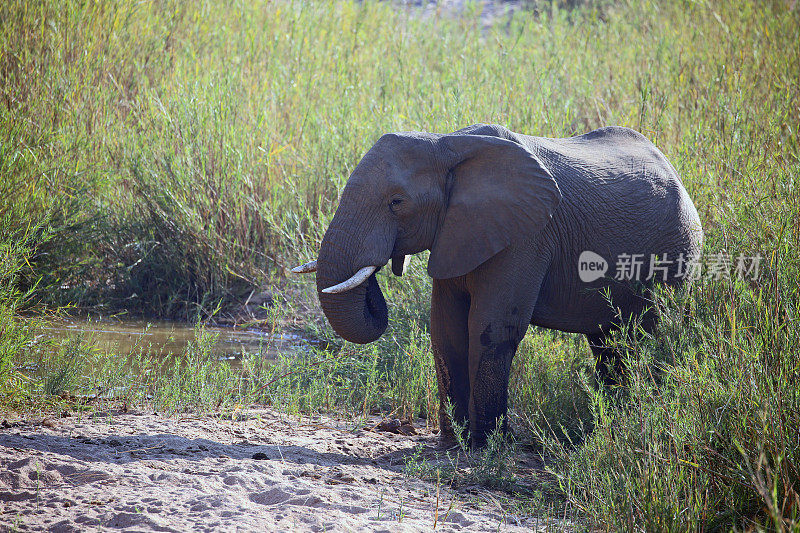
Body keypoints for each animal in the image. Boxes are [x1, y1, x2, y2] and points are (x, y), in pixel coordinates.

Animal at [292, 123, 700, 444]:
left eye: (397, 202)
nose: (386, 262)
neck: (446, 142)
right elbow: (446, 329)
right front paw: (453, 443)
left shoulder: (527, 235)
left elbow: (490, 327)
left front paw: (487, 446)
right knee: (609, 344)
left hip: (675, 259)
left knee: (646, 337)